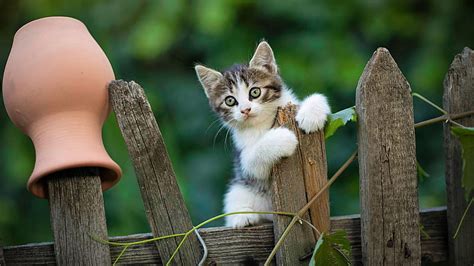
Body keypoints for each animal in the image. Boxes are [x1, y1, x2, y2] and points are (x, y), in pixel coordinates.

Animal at [193, 40, 330, 228]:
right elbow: (255, 155)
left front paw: (310, 115)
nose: (245, 110)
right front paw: (283, 138)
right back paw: (242, 217)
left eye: (255, 92)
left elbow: (317, 98)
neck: (264, 121)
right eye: (230, 101)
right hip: (239, 187)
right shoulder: (245, 162)